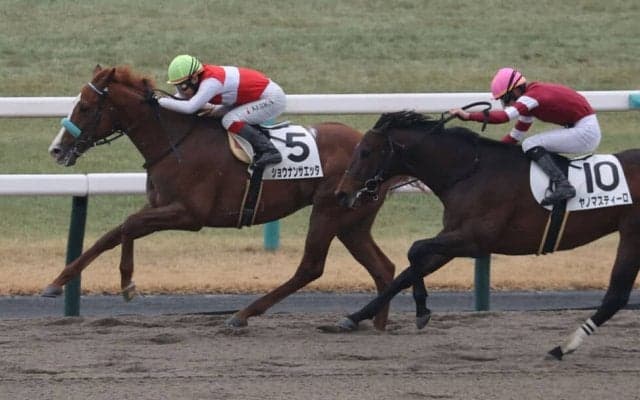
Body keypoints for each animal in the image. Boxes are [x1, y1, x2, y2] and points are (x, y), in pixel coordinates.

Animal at [42, 65, 398, 330]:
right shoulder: (159, 206)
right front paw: (57, 282)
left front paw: (128, 284)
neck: (175, 141)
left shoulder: (189, 214)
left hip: (328, 211)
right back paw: (377, 324)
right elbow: (110, 235)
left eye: (85, 106)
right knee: (384, 268)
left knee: (310, 268)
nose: (57, 150)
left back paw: (242, 315)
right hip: (352, 220)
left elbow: (128, 226)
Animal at [330, 110, 640, 359]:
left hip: (632, 233)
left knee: (616, 296)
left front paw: (421, 310)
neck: (469, 172)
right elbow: (406, 273)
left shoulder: (474, 240)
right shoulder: (454, 238)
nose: (342, 194)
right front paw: (355, 317)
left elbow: (414, 249)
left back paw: (562, 347)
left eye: (365, 151)